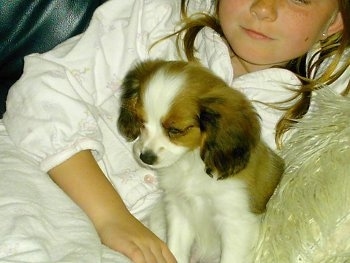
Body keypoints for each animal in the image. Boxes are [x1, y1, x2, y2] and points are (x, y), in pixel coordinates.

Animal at [117, 60, 284, 263]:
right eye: (141, 122)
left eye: (175, 130)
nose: (145, 157)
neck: (191, 163)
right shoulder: (179, 211)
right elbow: (176, 251)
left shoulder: (236, 224)